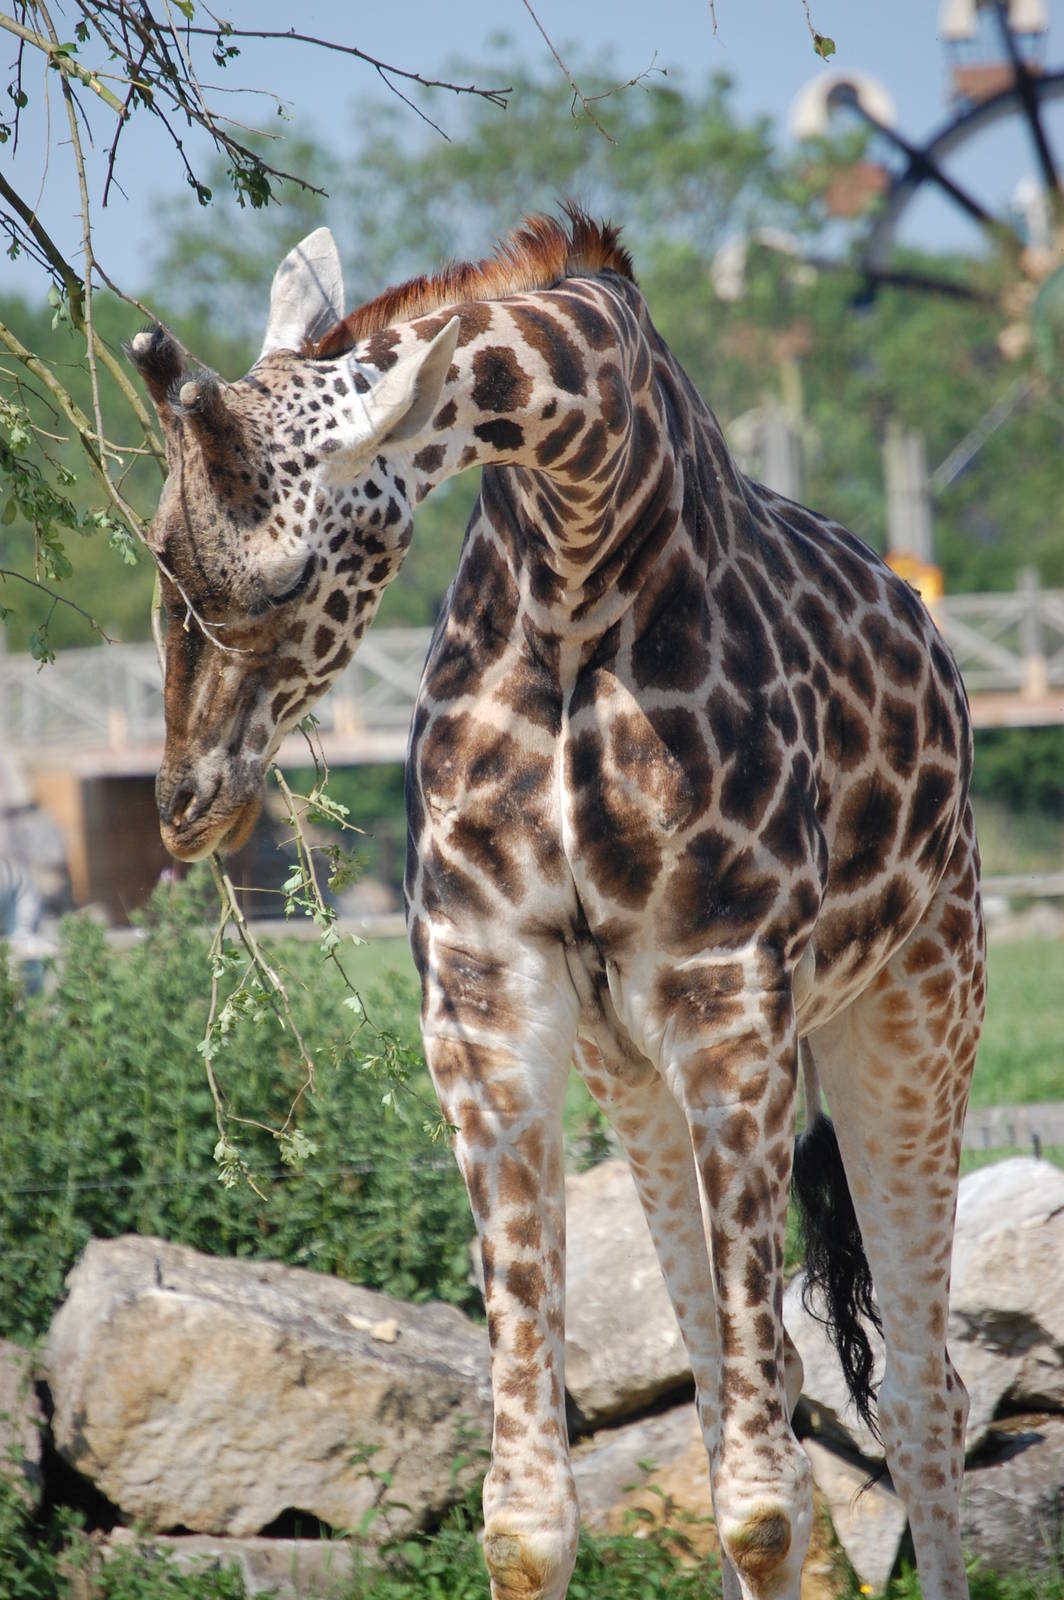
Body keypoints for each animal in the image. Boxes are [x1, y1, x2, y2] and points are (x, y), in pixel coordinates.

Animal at [130, 209, 985, 1600]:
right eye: (159, 551)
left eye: (288, 579)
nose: (186, 797)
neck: (581, 566)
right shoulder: (486, 1000)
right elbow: (530, 1514)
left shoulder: (729, 997)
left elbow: (765, 1501)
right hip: (632, 1068)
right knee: (739, 1392)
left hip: (916, 1008)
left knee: (920, 1395)